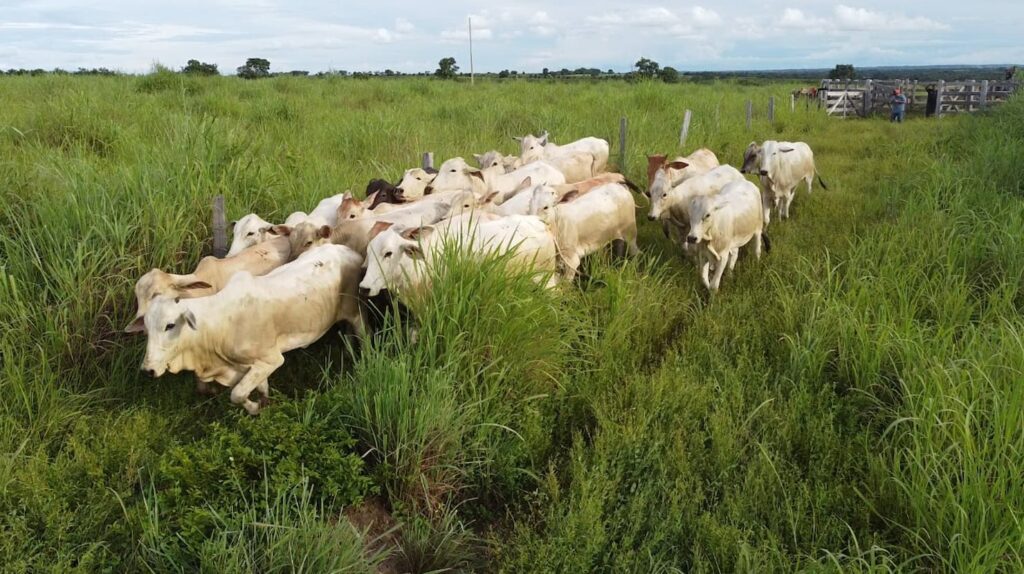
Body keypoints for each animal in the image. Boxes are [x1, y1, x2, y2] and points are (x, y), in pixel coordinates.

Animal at [138, 243, 366, 413]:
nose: (148, 370)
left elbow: (237, 394)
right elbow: (260, 388)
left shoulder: (271, 359)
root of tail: (349, 251)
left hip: (356, 313)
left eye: (170, 325)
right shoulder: (252, 367)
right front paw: (262, 404)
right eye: (147, 328)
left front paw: (255, 408)